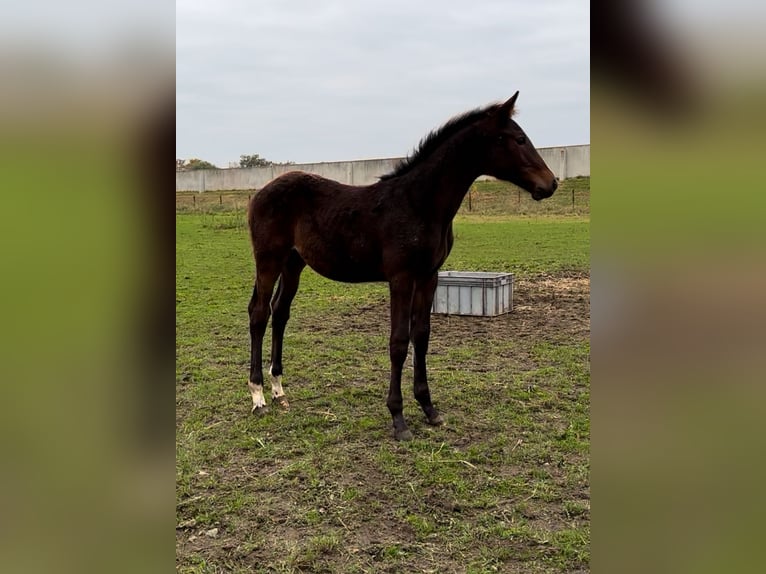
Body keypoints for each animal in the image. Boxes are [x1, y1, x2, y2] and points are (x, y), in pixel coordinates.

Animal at [250, 92, 560, 440]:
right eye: (519, 139)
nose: (551, 183)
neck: (419, 203)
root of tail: (260, 193)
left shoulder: (428, 276)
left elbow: (421, 336)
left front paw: (429, 408)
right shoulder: (400, 278)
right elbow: (398, 342)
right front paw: (398, 418)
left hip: (293, 264)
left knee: (280, 312)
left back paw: (279, 390)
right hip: (268, 260)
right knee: (259, 314)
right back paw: (258, 397)